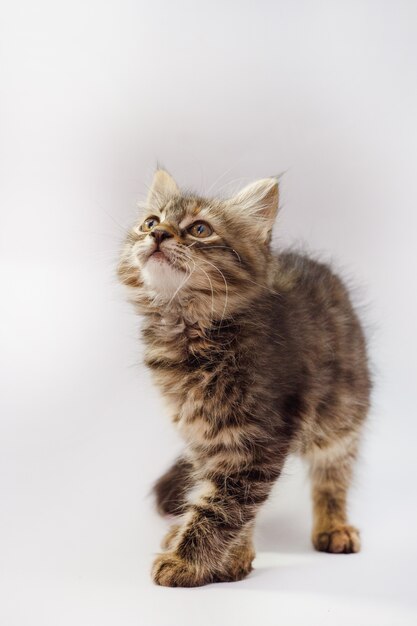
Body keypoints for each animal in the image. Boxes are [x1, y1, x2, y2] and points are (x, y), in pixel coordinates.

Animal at [118, 167, 370, 584]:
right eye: (150, 222)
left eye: (200, 229)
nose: (158, 234)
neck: (188, 330)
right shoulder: (205, 439)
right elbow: (223, 500)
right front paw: (232, 555)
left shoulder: (256, 441)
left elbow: (222, 507)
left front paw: (185, 562)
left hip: (341, 414)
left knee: (333, 474)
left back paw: (334, 526)